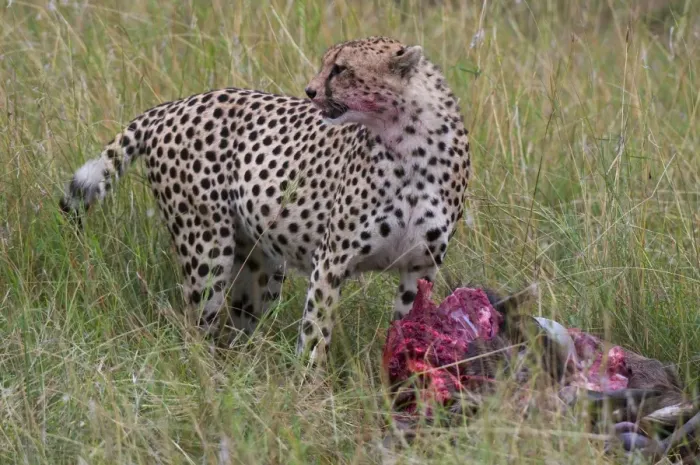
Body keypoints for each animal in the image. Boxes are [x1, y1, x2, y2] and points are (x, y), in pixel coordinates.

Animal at [59, 36, 471, 370]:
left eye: (341, 69)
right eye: (327, 63)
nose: (309, 90)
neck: (409, 139)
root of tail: (173, 105)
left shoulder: (420, 269)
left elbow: (407, 330)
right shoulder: (331, 262)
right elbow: (316, 335)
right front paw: (312, 393)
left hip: (260, 263)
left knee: (239, 327)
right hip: (207, 250)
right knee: (197, 328)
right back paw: (209, 378)